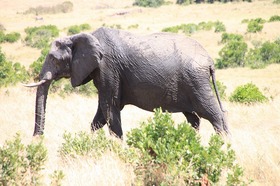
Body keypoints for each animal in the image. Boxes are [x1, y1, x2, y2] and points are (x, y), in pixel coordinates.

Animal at [24, 27, 229, 138]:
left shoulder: (108, 68)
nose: (37, 139)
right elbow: (100, 115)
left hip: (196, 81)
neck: (80, 36)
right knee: (194, 118)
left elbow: (109, 107)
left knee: (212, 113)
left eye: (54, 59)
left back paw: (223, 143)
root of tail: (210, 60)